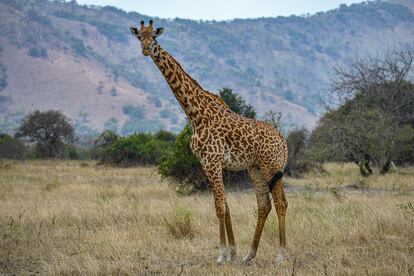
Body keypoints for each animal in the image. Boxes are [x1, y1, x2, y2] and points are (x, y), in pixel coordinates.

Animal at [130, 20, 288, 266]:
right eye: (140, 37)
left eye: (154, 37)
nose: (146, 49)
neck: (195, 114)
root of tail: (282, 140)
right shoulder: (207, 163)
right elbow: (226, 205)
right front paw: (232, 252)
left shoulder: (213, 161)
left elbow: (219, 207)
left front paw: (221, 256)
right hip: (255, 167)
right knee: (264, 204)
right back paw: (249, 255)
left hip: (272, 165)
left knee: (281, 203)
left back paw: (281, 255)